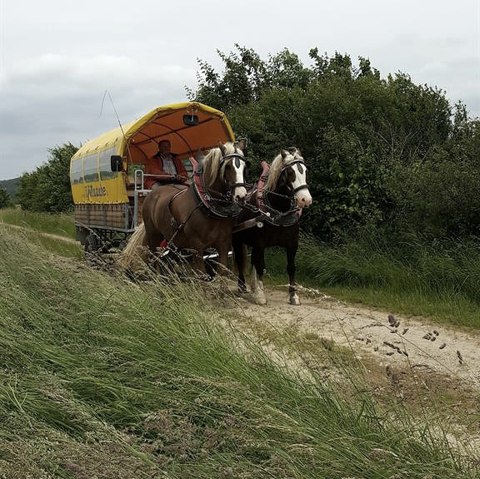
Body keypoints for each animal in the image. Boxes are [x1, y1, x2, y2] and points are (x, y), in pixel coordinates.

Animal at [120, 142, 248, 276]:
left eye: (245, 167)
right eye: (227, 166)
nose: (241, 196)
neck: (206, 205)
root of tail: (152, 194)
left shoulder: (223, 244)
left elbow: (222, 273)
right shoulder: (197, 246)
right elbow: (202, 275)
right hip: (153, 235)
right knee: (154, 258)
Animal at [232, 148, 312, 304]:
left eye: (305, 171)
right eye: (290, 172)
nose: (305, 199)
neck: (278, 211)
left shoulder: (292, 244)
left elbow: (291, 267)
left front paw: (293, 295)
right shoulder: (260, 243)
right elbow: (261, 266)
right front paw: (261, 295)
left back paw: (253, 286)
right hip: (236, 239)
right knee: (240, 260)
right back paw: (242, 286)